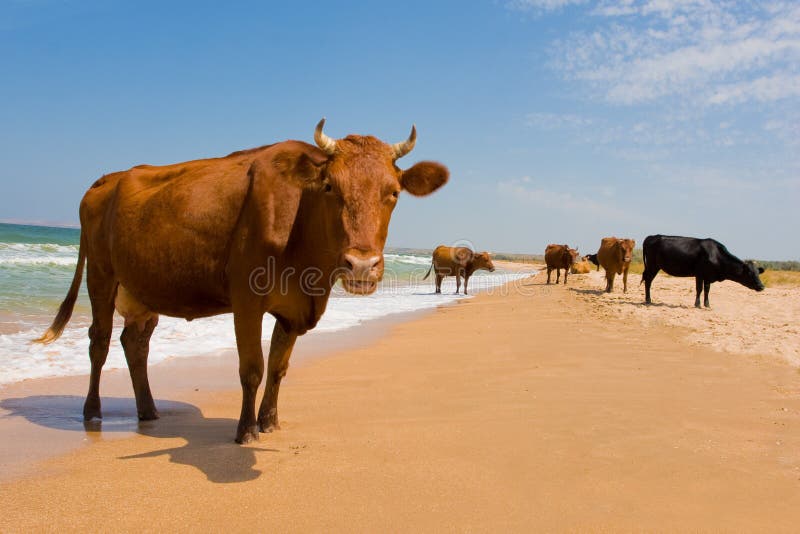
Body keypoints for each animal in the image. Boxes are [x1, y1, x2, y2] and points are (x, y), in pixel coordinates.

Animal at [36, 119, 450, 446]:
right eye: (330, 187)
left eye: (393, 192)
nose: (361, 264)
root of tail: (108, 178)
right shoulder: (247, 298)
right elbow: (252, 367)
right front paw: (246, 430)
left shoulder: (294, 308)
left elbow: (279, 367)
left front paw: (270, 421)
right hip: (101, 276)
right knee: (100, 342)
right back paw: (92, 411)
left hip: (143, 289)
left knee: (134, 343)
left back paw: (148, 410)